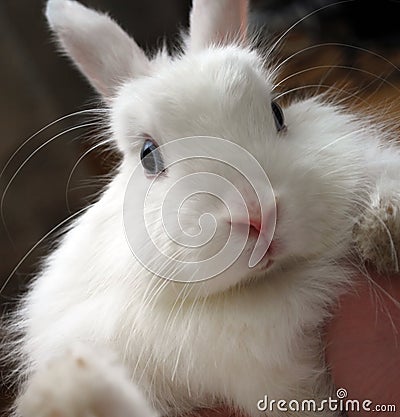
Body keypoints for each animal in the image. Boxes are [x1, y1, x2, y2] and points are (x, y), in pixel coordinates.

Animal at [7, 0, 400, 416]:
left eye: (278, 112)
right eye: (148, 156)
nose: (258, 215)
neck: (258, 294)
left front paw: (384, 227)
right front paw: (72, 386)